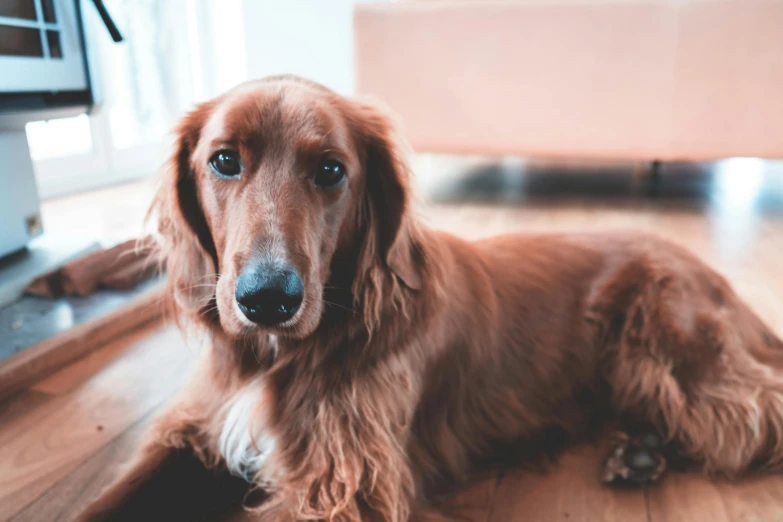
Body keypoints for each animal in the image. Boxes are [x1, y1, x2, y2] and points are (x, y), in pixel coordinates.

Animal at [75, 74, 783, 520]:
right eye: (224, 161)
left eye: (330, 170)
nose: (267, 299)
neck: (280, 356)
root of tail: (704, 268)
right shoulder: (194, 434)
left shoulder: (344, 485)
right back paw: (639, 453)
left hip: (673, 358)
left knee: (756, 411)